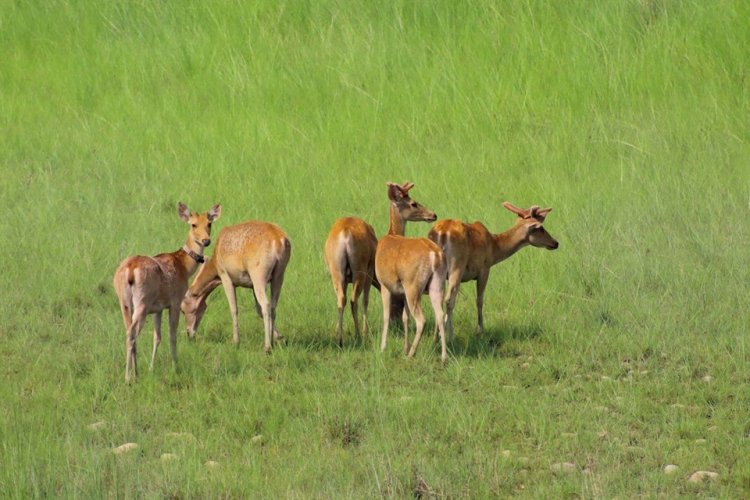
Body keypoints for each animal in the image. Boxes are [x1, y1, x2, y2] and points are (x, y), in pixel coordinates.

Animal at [113, 201, 222, 380]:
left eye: (209, 223)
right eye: (193, 224)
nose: (206, 240)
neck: (184, 266)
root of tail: (130, 270)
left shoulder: (158, 308)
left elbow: (157, 337)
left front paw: (151, 368)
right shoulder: (175, 302)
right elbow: (172, 335)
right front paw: (175, 366)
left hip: (124, 303)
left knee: (129, 331)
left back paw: (136, 372)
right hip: (142, 301)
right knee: (132, 333)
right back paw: (128, 377)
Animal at [181, 221, 292, 354]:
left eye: (182, 310)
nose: (188, 333)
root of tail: (279, 240)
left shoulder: (225, 277)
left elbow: (234, 309)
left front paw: (235, 341)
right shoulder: (251, 286)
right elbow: (258, 310)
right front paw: (281, 338)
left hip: (259, 277)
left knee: (266, 304)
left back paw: (267, 347)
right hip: (279, 275)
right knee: (273, 305)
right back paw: (272, 343)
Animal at [324, 217, 378, 346]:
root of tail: (346, 232)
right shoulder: (369, 273)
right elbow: (365, 301)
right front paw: (365, 332)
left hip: (337, 276)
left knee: (341, 300)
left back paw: (340, 340)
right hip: (359, 276)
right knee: (354, 301)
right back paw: (358, 335)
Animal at [374, 182, 446, 362]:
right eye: (413, 203)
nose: (433, 214)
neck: (391, 234)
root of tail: (435, 254)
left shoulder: (385, 284)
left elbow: (386, 316)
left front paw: (383, 348)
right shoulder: (401, 291)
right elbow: (405, 318)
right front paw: (404, 348)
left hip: (413, 284)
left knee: (422, 319)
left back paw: (412, 354)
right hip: (436, 284)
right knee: (440, 315)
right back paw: (443, 356)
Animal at [428, 201, 560, 338]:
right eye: (541, 228)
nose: (555, 243)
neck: (494, 248)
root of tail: (442, 234)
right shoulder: (485, 268)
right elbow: (479, 300)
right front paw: (480, 330)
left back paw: (437, 336)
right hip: (457, 265)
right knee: (449, 299)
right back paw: (449, 336)